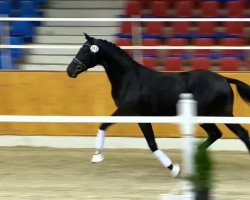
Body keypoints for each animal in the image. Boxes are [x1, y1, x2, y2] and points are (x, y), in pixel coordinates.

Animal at [67, 33, 250, 177]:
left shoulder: (133, 113)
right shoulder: (131, 114)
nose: (70, 70)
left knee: (240, 133)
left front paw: (174, 169)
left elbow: (151, 143)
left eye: (84, 51)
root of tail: (225, 79)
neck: (130, 79)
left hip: (219, 114)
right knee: (216, 134)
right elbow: (104, 125)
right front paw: (97, 155)